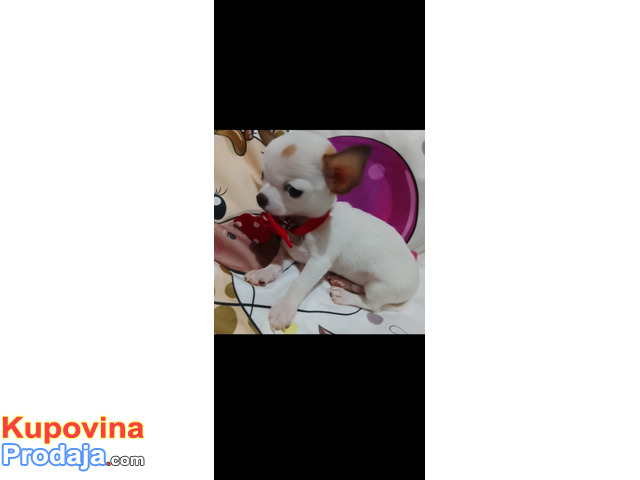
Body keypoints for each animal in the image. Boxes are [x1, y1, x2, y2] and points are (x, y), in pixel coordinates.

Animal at [243, 130, 419, 332]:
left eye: (293, 191)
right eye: (263, 174)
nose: (260, 198)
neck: (305, 225)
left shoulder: (318, 263)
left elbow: (298, 284)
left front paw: (284, 308)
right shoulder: (290, 251)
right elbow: (276, 262)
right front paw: (263, 273)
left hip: (379, 287)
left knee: (372, 305)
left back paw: (346, 295)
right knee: (363, 290)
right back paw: (344, 283)